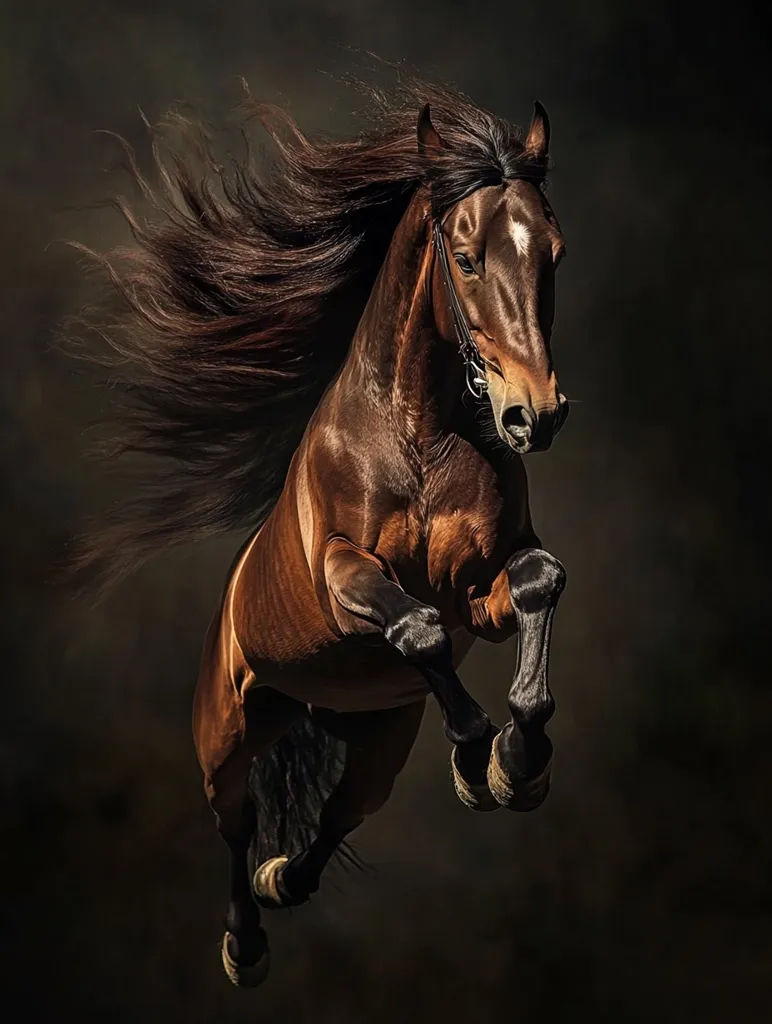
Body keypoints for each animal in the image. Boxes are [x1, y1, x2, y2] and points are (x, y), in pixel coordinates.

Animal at [72, 75, 569, 987]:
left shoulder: (484, 586)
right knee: (235, 828)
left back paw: (288, 877)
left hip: (376, 741)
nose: (533, 414)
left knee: (335, 819)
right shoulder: (344, 579)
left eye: (552, 250)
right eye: (467, 256)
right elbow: (416, 628)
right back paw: (244, 944)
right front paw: (482, 754)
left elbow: (534, 583)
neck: (418, 438)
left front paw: (515, 766)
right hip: (227, 738)